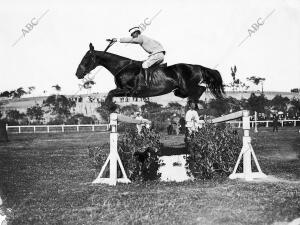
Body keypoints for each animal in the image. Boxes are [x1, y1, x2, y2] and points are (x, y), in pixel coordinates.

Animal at [75, 42, 225, 104]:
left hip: (188, 86)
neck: (122, 67)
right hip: (184, 88)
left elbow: (110, 93)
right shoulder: (124, 90)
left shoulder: (128, 91)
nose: (78, 74)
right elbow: (111, 93)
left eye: (86, 58)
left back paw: (193, 103)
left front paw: (109, 107)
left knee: (200, 89)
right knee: (188, 92)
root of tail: (198, 67)